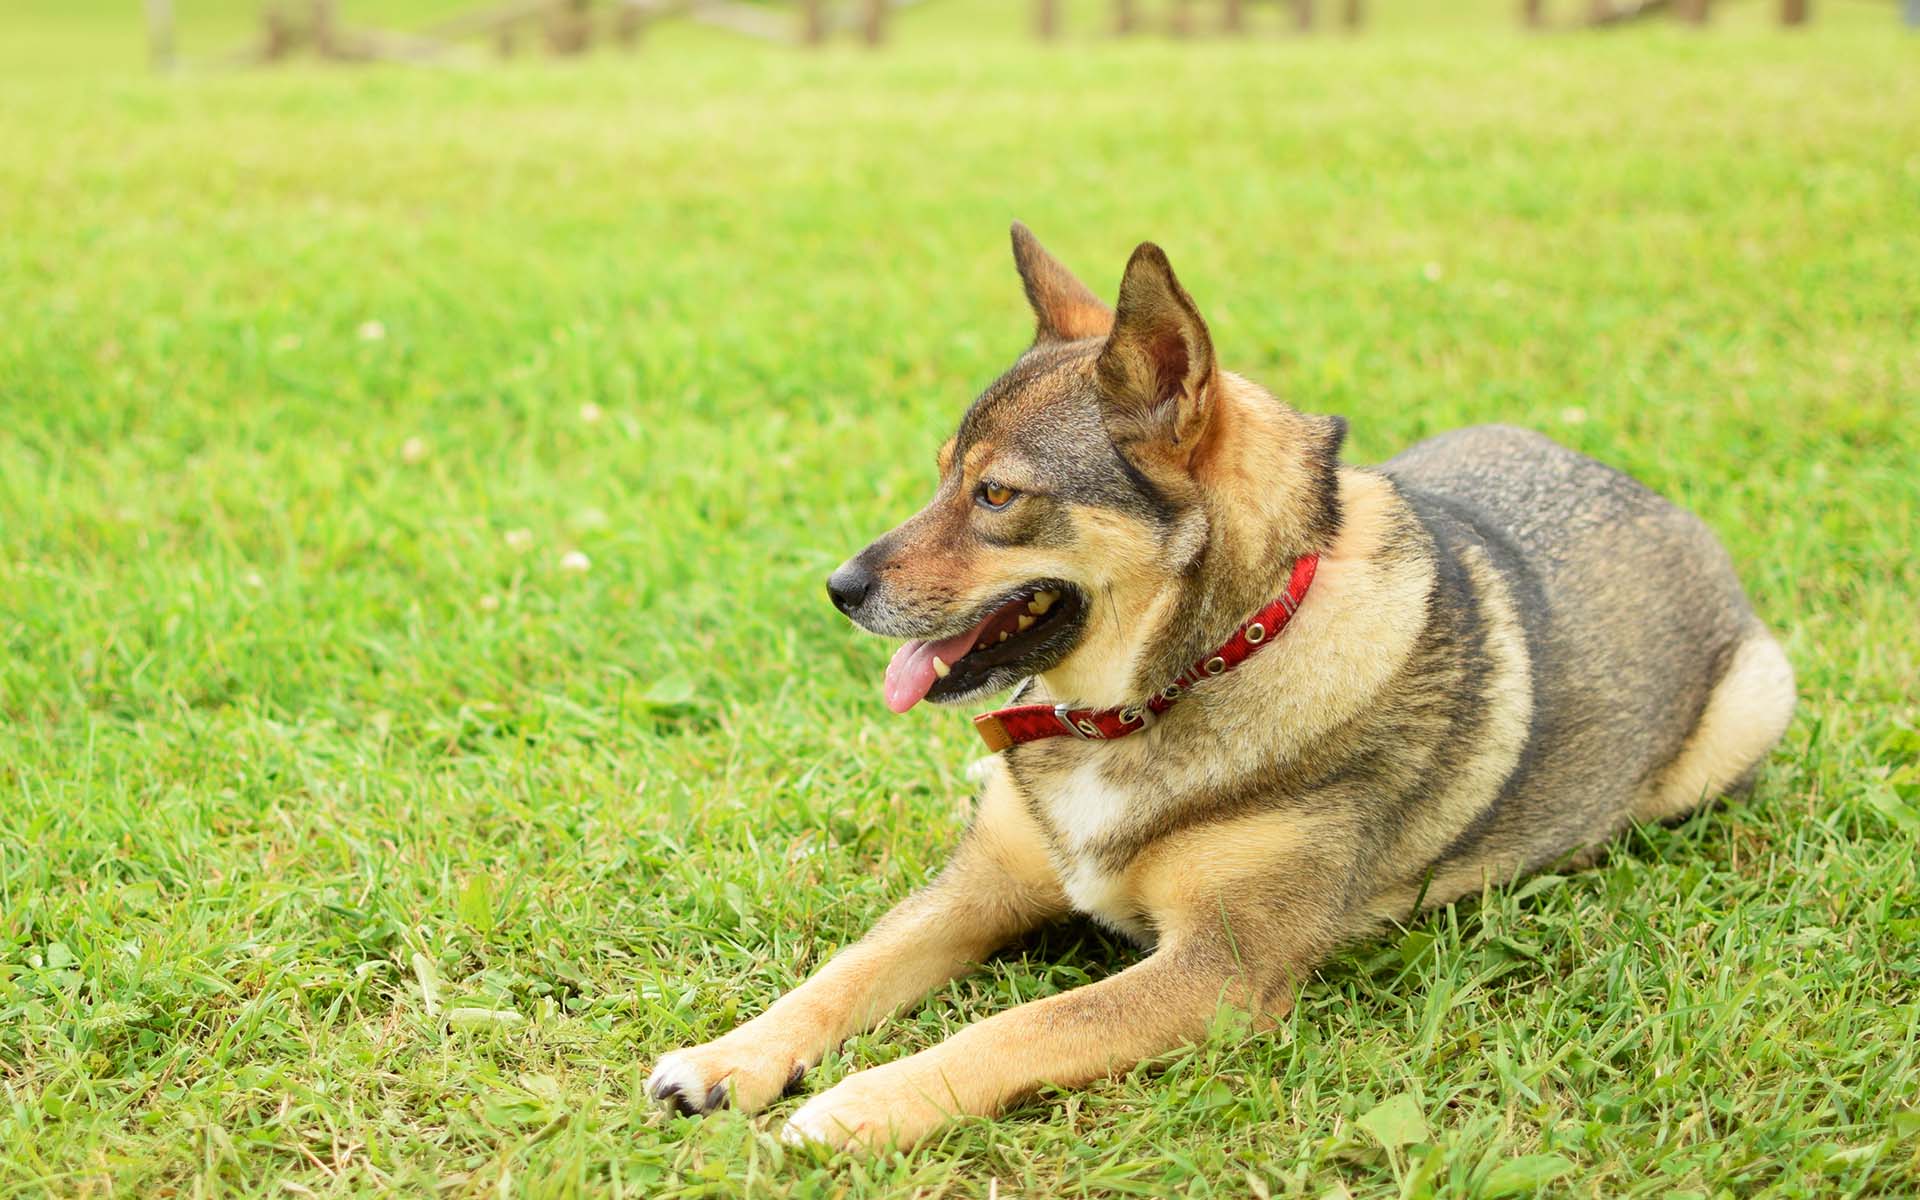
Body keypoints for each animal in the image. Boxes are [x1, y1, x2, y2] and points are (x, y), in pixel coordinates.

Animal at [648, 224, 1797, 1152]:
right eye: (941, 474)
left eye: (998, 495)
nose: (838, 589)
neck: (1169, 684)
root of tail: (1643, 490)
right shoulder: (980, 890)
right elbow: (843, 971)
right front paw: (729, 1056)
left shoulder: (1219, 972)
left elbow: (1021, 1024)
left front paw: (864, 1103)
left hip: (1753, 706)